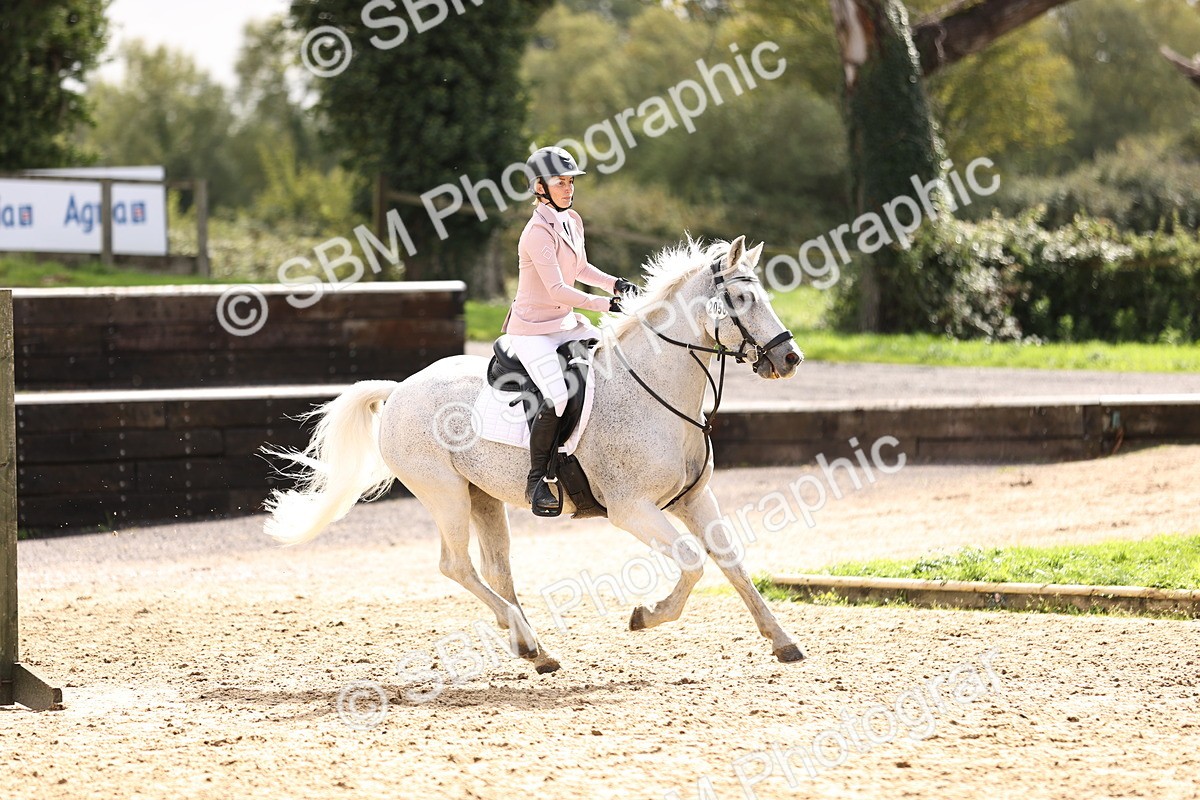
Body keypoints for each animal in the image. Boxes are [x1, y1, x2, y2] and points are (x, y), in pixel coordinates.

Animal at [263, 235, 807, 675]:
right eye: (742, 299)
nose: (789, 358)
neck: (657, 389)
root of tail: (399, 389)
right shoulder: (632, 509)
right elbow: (693, 563)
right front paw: (646, 616)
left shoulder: (695, 499)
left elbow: (732, 562)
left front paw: (783, 642)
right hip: (444, 494)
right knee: (456, 566)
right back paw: (527, 642)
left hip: (481, 496)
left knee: (496, 569)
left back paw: (535, 649)